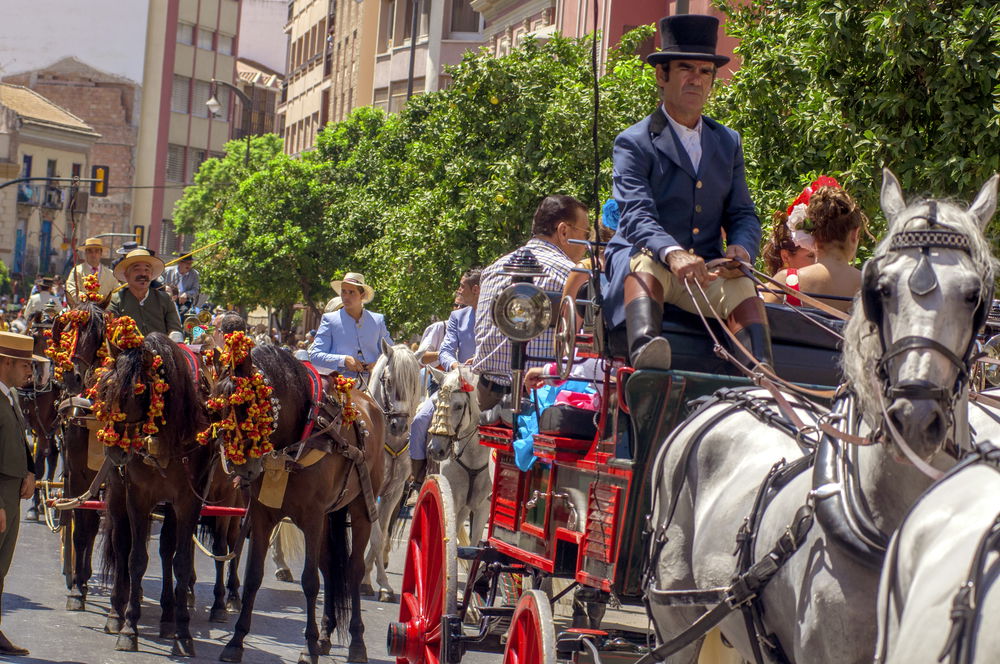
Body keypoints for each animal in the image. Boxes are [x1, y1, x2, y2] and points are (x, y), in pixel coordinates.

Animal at [96, 330, 212, 656]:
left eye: (136, 392)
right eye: (105, 387)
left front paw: (183, 632)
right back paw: (116, 613)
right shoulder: (137, 496)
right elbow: (135, 559)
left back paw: (167, 616)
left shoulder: (187, 501)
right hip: (117, 493)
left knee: (166, 550)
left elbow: (181, 561)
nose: (114, 449)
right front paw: (129, 628)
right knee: (121, 544)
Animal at [207, 344, 382, 660]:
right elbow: (253, 576)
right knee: (330, 566)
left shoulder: (312, 518)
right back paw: (325, 635)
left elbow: (310, 581)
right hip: (328, 517)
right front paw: (236, 641)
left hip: (361, 508)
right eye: (214, 408)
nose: (242, 470)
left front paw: (308, 647)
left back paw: (357, 643)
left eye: (249, 406)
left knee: (353, 570)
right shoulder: (263, 515)